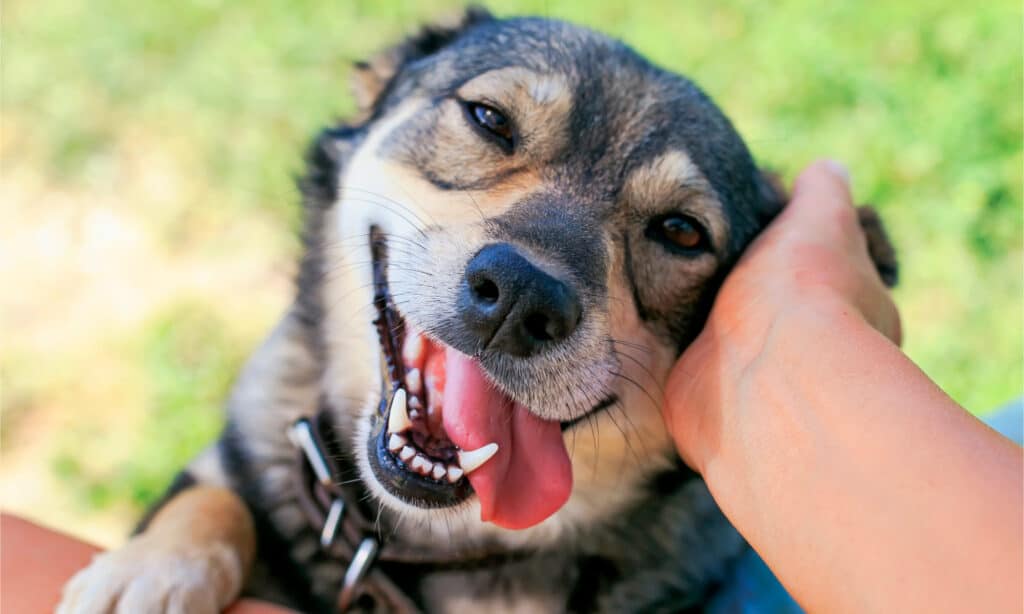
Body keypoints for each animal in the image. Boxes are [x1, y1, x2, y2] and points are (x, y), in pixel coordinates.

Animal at [56, 9, 892, 614]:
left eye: (682, 232)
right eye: (489, 118)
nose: (522, 297)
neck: (418, 545)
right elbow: (210, 501)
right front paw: (152, 569)